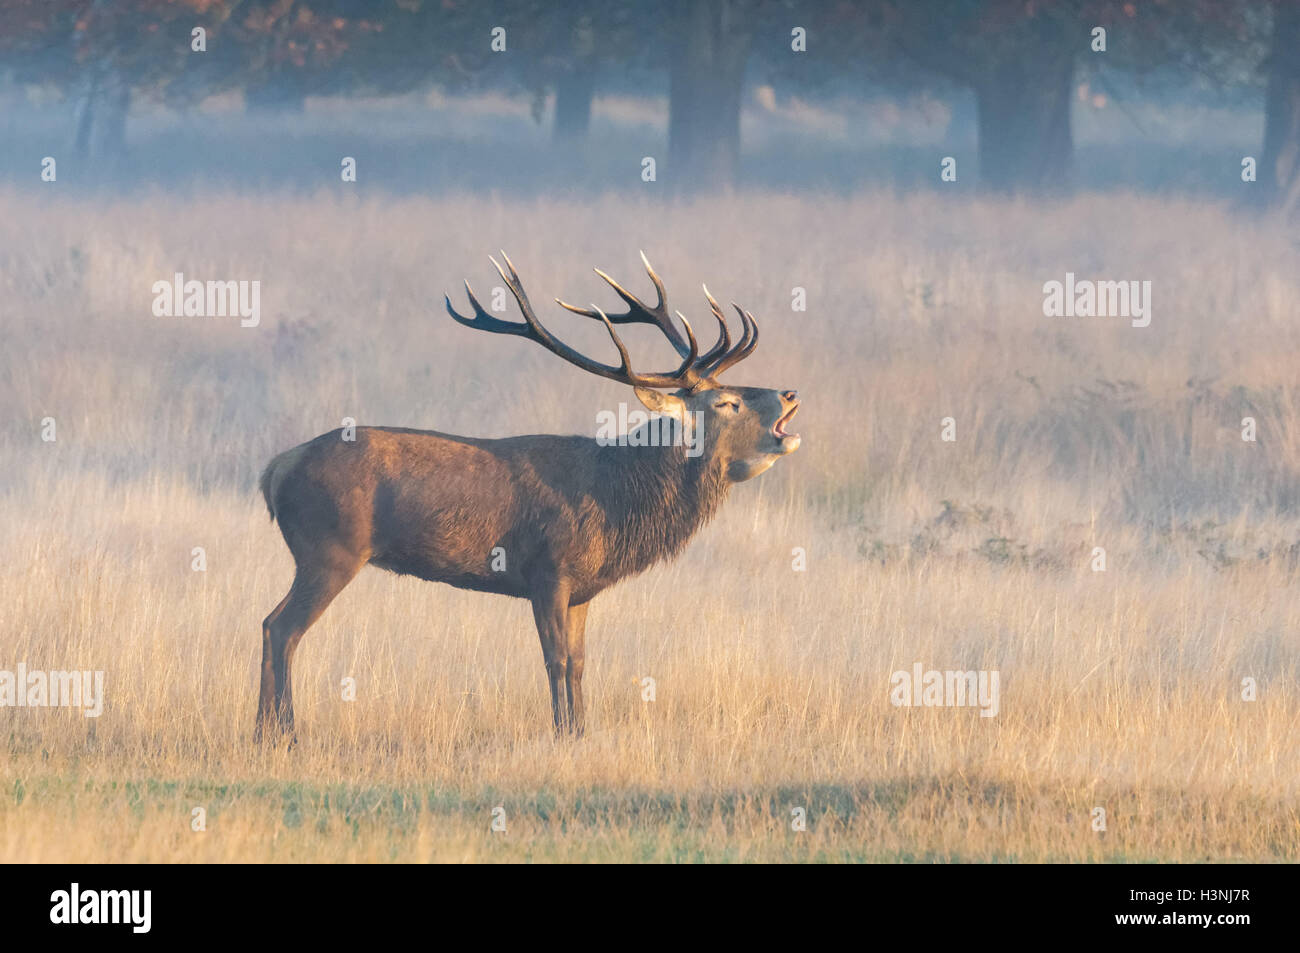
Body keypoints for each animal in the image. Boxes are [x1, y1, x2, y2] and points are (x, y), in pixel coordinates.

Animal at [255, 253, 801, 741]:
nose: (790, 393)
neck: (617, 500)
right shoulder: (547, 569)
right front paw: (561, 732)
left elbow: (579, 662)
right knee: (281, 628)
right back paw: (283, 733)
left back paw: (264, 731)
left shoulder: (582, 588)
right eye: (726, 402)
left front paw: (580, 731)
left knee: (270, 625)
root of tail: (274, 470)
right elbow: (554, 659)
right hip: (329, 551)